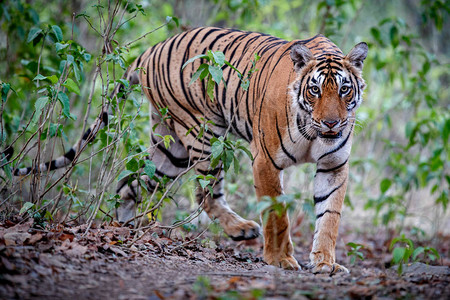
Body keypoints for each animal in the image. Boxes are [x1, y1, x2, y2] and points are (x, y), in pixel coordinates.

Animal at [12, 26, 368, 274]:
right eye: (315, 90)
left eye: (344, 89)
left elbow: (329, 217)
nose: (332, 123)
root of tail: (151, 50)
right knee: (204, 193)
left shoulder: (334, 166)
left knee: (131, 185)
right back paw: (241, 229)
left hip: (171, 151)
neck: (315, 133)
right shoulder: (266, 160)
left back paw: (124, 228)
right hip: (203, 134)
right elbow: (276, 214)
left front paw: (325, 264)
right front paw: (280, 259)